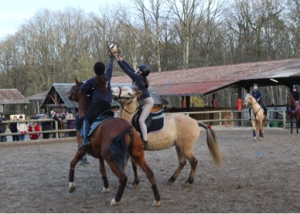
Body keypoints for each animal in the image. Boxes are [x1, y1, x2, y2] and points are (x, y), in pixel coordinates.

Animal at [67, 79, 161, 207]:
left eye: (73, 88)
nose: (67, 93)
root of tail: (128, 128)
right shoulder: (100, 155)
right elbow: (102, 171)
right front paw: (105, 187)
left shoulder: (81, 150)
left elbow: (72, 163)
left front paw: (71, 185)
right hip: (137, 155)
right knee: (150, 174)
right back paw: (157, 200)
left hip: (110, 157)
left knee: (123, 178)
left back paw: (116, 200)